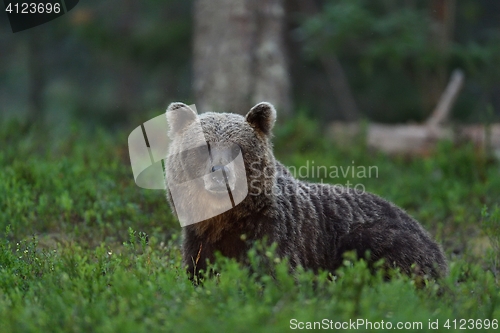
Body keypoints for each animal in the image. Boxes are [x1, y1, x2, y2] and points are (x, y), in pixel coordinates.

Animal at [165, 102, 450, 280]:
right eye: (203, 148)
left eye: (238, 148)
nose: (219, 172)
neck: (225, 218)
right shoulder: (198, 237)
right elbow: (199, 271)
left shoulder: (275, 233)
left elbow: (273, 273)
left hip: (380, 237)